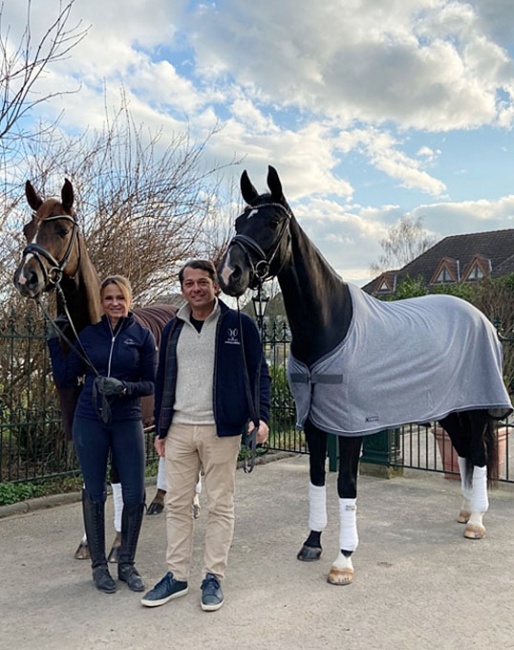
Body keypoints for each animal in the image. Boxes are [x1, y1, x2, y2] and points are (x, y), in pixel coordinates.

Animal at [13, 177, 187, 556]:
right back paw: (160, 499)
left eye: (62, 230)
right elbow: (89, 475)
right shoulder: (76, 420)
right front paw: (87, 540)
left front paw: (120, 539)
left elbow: (117, 477)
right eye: (27, 230)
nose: (25, 278)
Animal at [217, 165, 512, 584]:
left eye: (273, 222)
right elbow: (317, 478)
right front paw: (312, 543)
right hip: (450, 410)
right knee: (466, 453)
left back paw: (477, 522)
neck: (329, 325)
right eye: (240, 222)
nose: (230, 274)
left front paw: (343, 561)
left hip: (474, 408)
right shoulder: (314, 422)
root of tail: (480, 316)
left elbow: (346, 484)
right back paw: (466, 512)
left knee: (481, 454)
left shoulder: (350, 426)